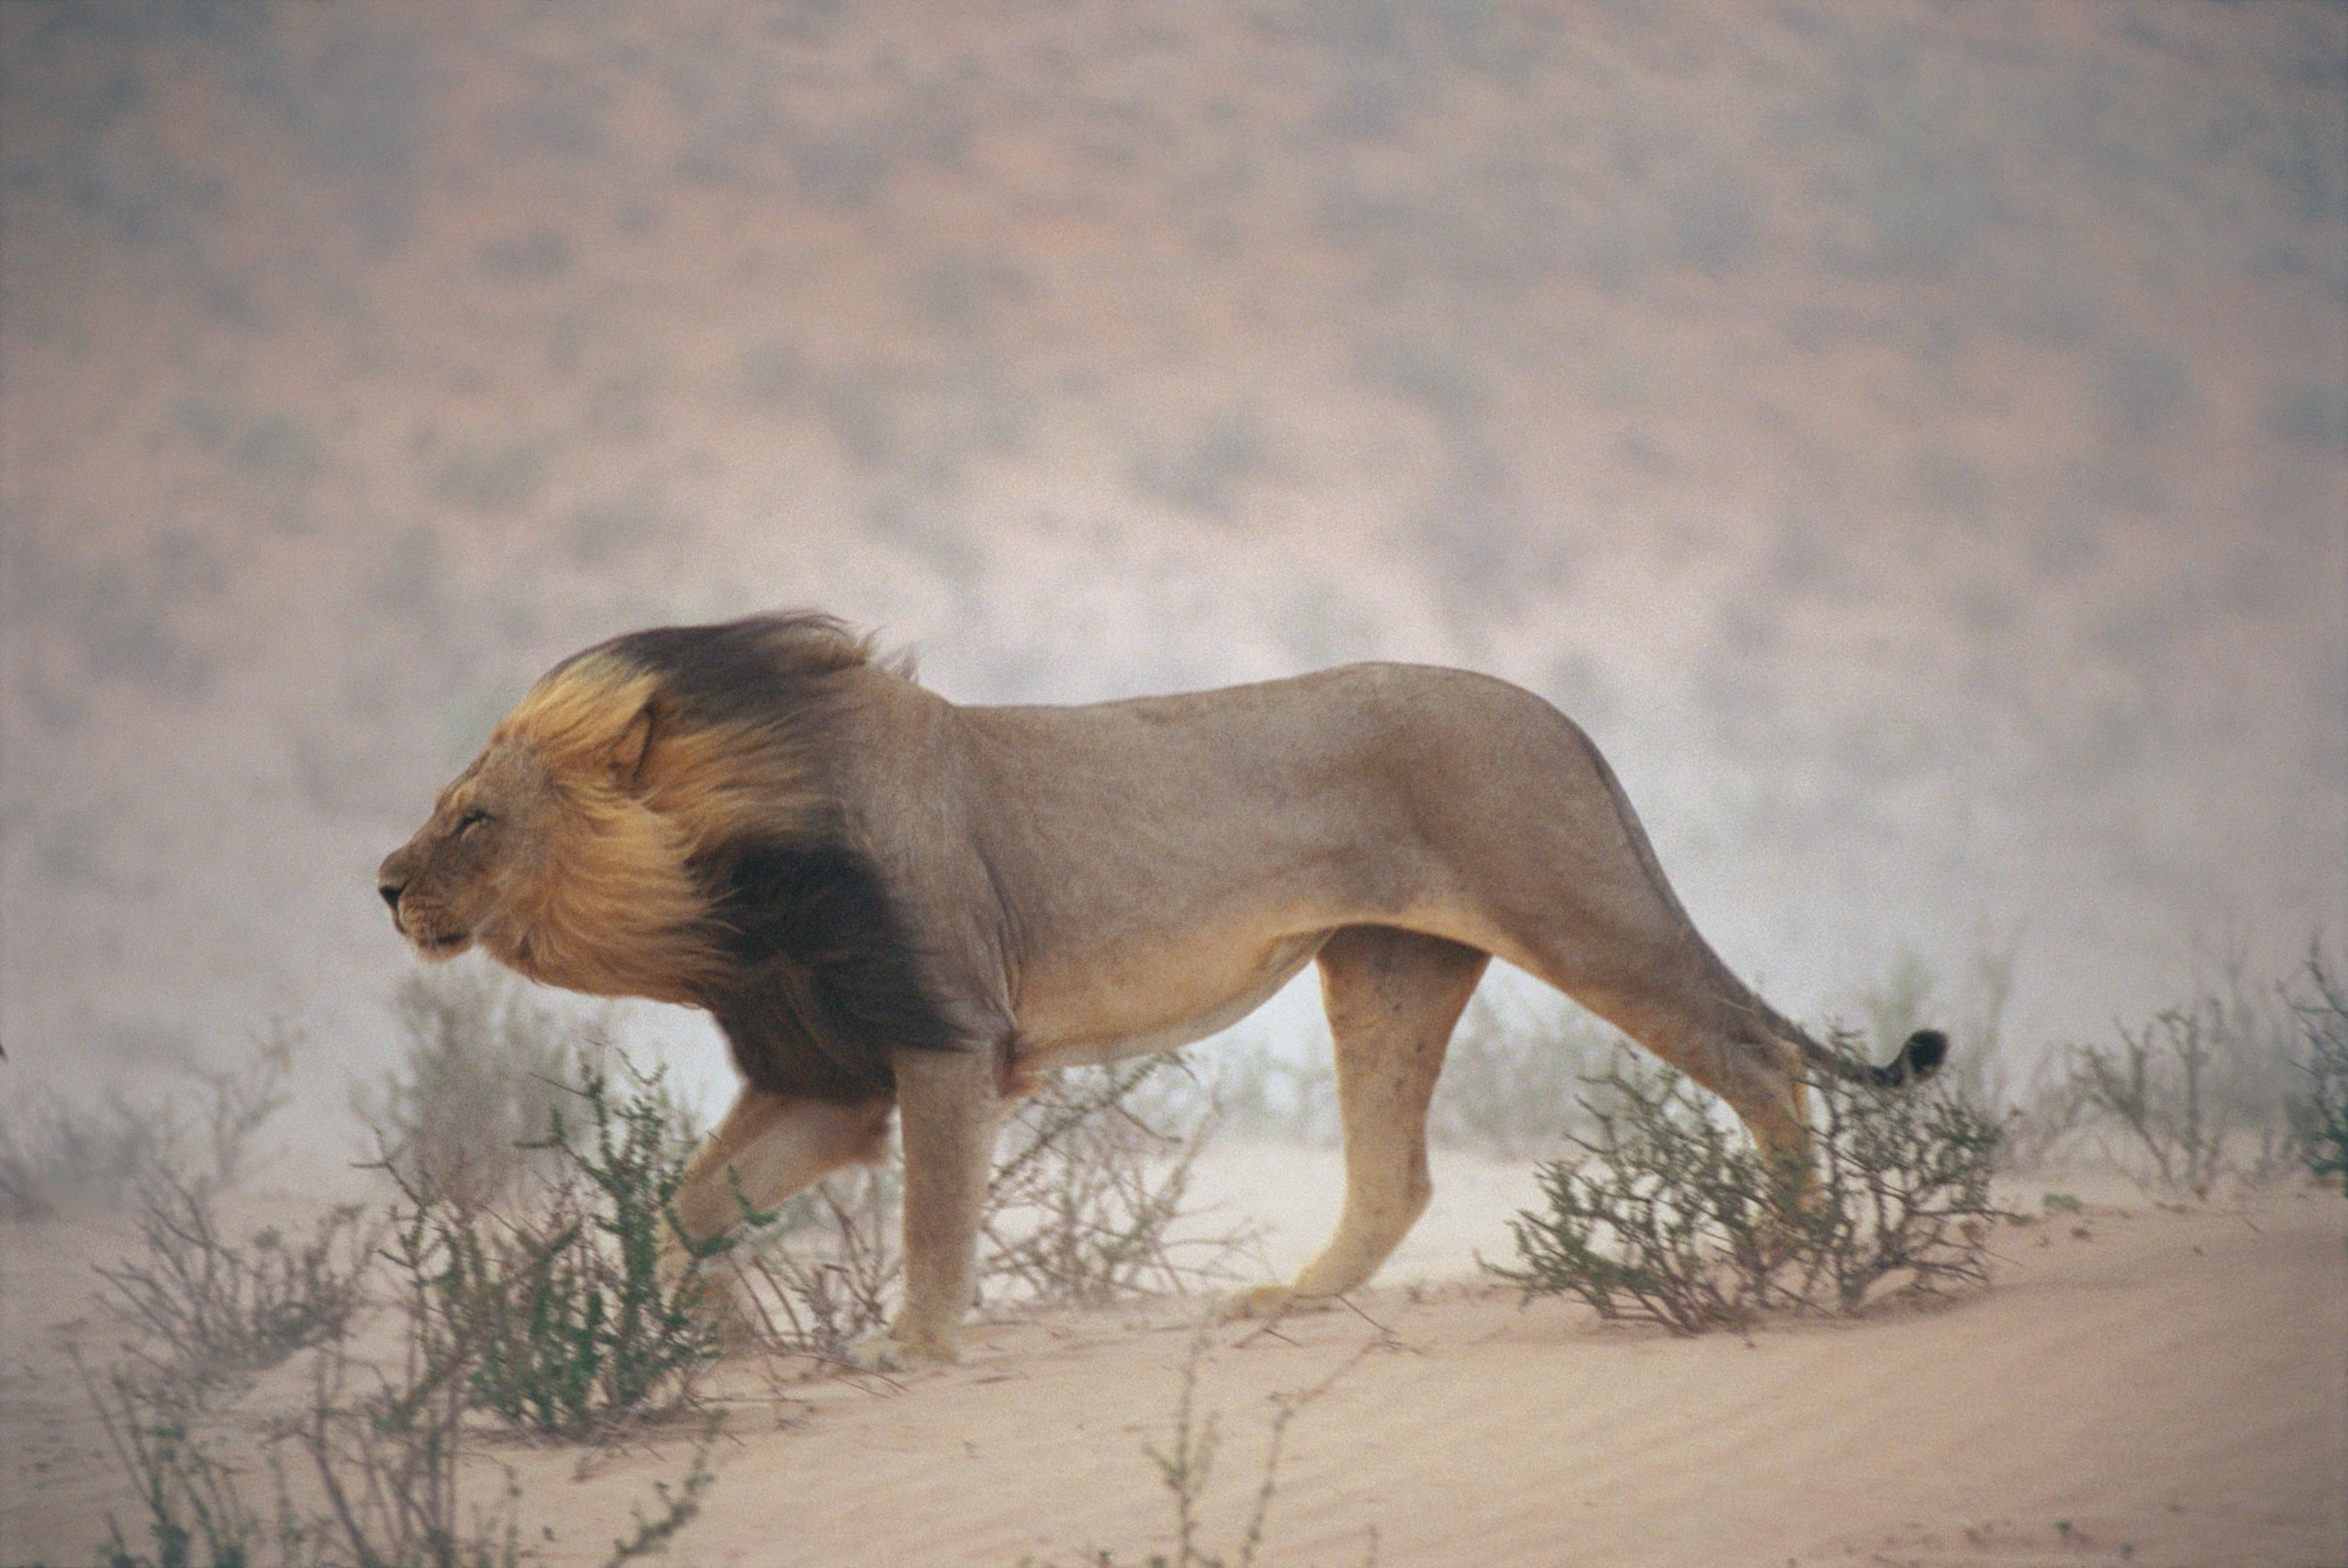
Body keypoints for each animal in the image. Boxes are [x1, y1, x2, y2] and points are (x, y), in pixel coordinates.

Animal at [377, 612, 1945, 1368]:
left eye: (474, 821)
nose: (382, 883)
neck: (723, 895)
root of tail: (1559, 716)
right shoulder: (826, 1078)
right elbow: (692, 1208)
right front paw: (702, 1338)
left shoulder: (945, 1042)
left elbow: (933, 1220)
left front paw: (908, 1349)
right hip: (1386, 964)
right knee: (1398, 1178)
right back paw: (1288, 1301)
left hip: (1583, 912)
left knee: (1759, 1059)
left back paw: (1778, 1251)